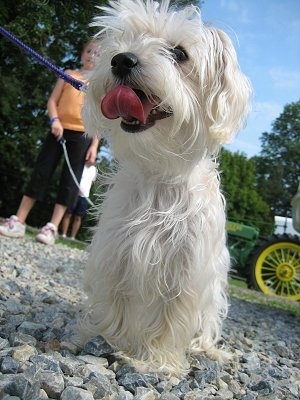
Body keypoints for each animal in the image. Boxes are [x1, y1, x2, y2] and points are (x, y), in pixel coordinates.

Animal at [81, 0, 251, 376]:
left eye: (180, 53)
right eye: (124, 39)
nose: (122, 59)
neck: (159, 173)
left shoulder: (185, 271)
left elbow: (170, 319)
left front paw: (155, 361)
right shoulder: (116, 254)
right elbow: (115, 304)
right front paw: (113, 341)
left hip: (214, 296)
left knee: (206, 328)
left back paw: (209, 350)